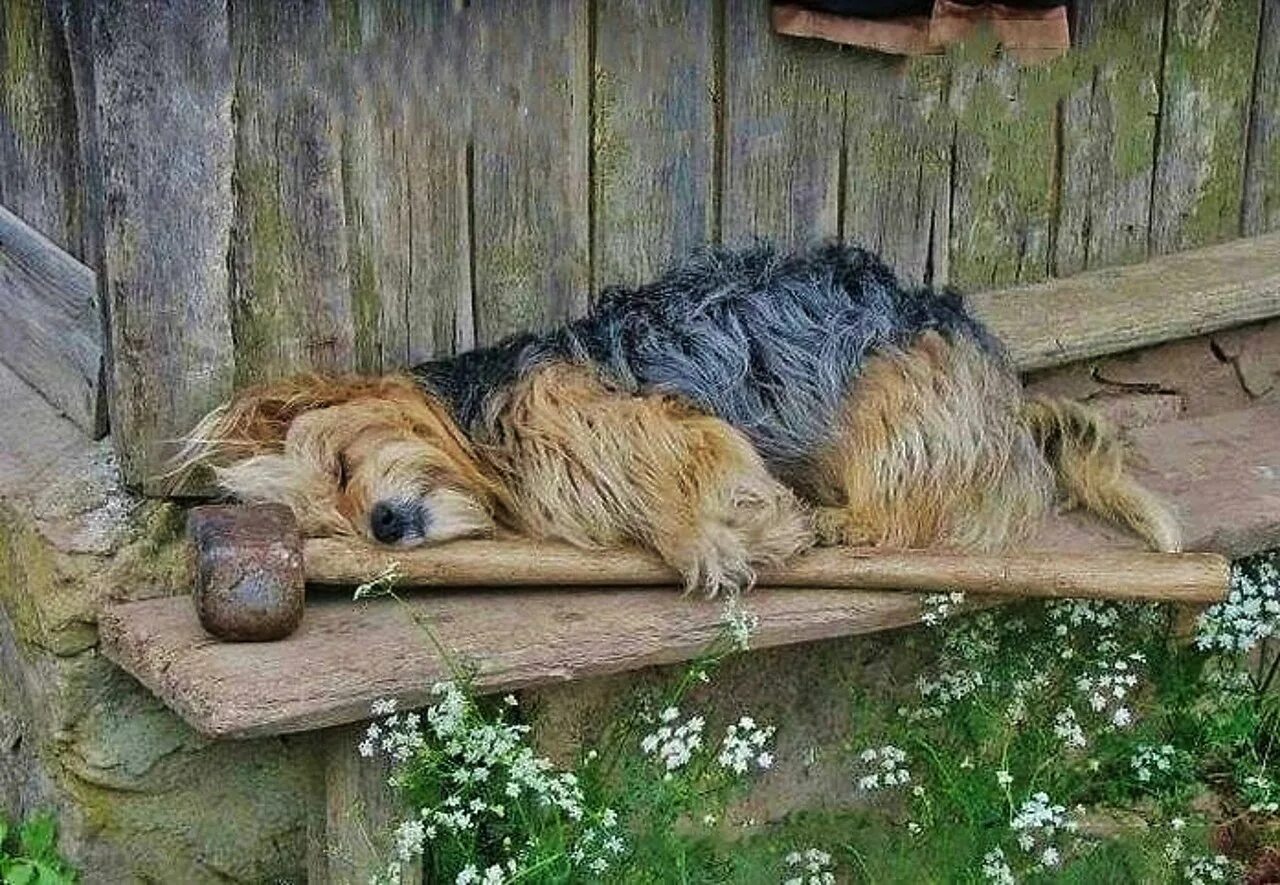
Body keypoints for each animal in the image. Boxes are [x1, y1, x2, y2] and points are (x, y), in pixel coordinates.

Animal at [180, 242, 1177, 594]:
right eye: (324, 519)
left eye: (342, 470)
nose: (385, 525)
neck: (480, 433)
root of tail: (1010, 397)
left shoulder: (638, 419)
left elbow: (684, 474)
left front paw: (729, 533)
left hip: (894, 411)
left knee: (907, 517)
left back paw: (831, 518)